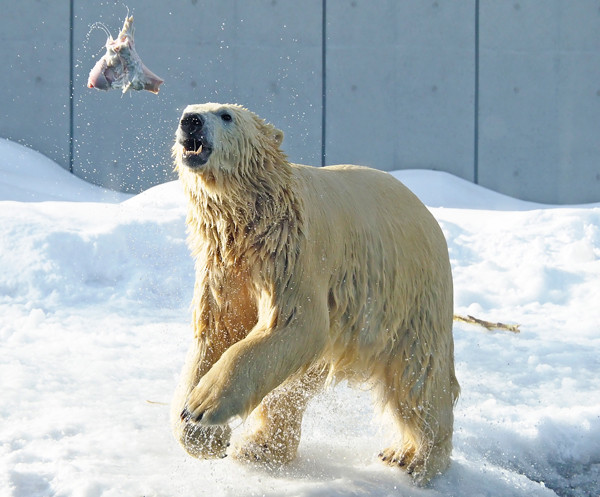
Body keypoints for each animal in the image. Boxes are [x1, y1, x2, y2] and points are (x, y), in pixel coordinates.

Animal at [169, 101, 460, 484]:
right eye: (186, 110)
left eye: (225, 115)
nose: (191, 121)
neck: (252, 220)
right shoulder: (225, 268)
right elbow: (218, 332)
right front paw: (200, 432)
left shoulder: (291, 254)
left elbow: (292, 323)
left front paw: (203, 406)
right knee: (298, 382)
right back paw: (261, 447)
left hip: (411, 294)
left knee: (418, 377)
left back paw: (413, 457)